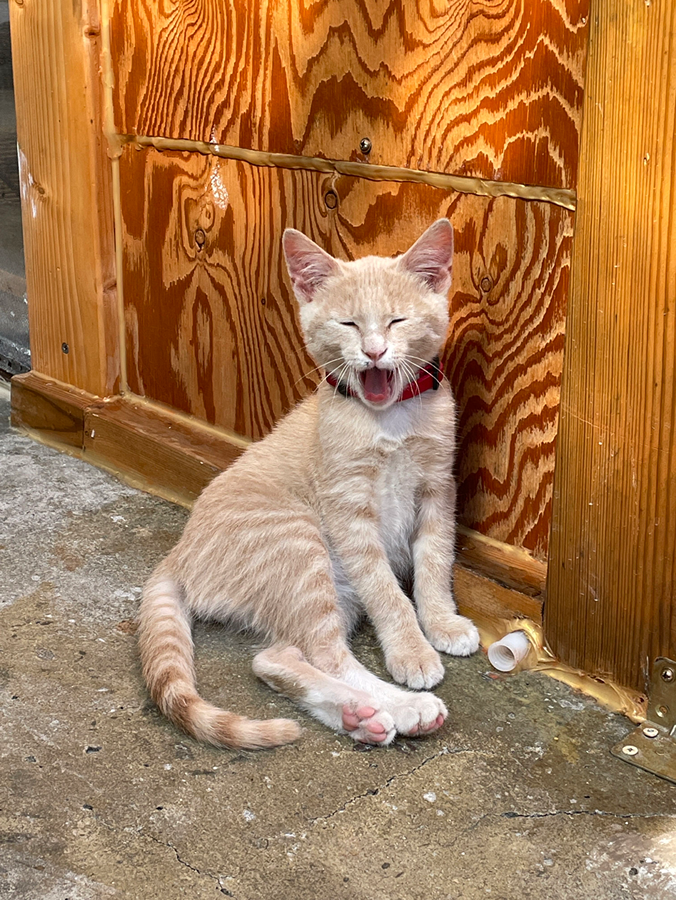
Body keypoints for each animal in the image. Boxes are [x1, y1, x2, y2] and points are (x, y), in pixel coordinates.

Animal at [137, 220, 478, 752]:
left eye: (397, 321)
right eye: (348, 325)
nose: (374, 352)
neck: (389, 419)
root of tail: (180, 552)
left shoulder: (437, 489)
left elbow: (433, 564)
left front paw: (440, 621)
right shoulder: (349, 513)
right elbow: (387, 592)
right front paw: (411, 650)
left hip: (326, 585)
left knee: (275, 658)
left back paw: (361, 717)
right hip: (301, 545)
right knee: (326, 652)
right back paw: (400, 707)